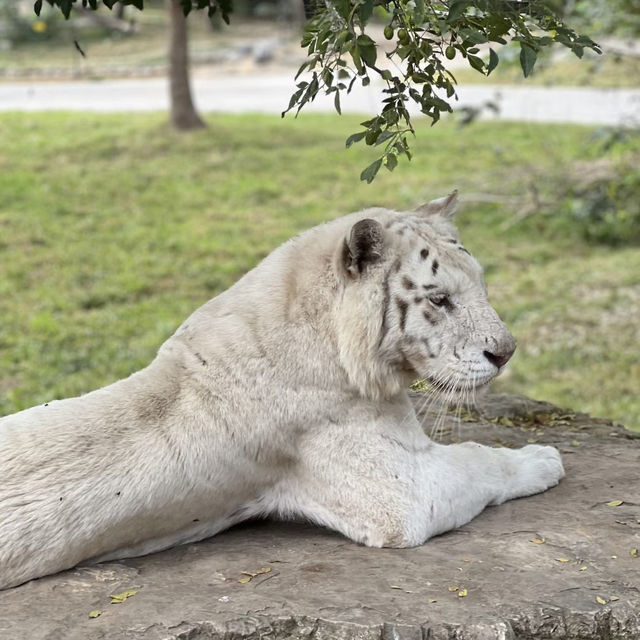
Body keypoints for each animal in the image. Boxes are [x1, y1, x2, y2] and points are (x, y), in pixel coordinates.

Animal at [0, 194, 560, 592]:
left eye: (482, 285)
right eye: (440, 300)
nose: (507, 352)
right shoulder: (403, 493)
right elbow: (481, 460)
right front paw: (545, 457)